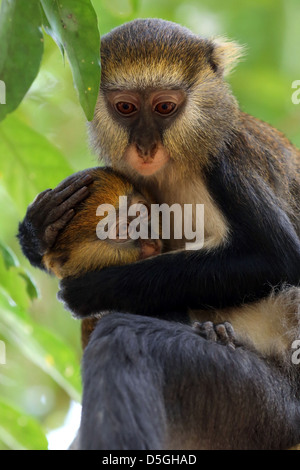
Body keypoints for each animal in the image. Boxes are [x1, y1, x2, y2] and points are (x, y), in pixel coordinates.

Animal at [18, 20, 300, 450]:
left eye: (165, 107)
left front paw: (92, 290)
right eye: (126, 108)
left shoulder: (225, 159)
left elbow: (277, 258)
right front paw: (37, 230)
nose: (145, 147)